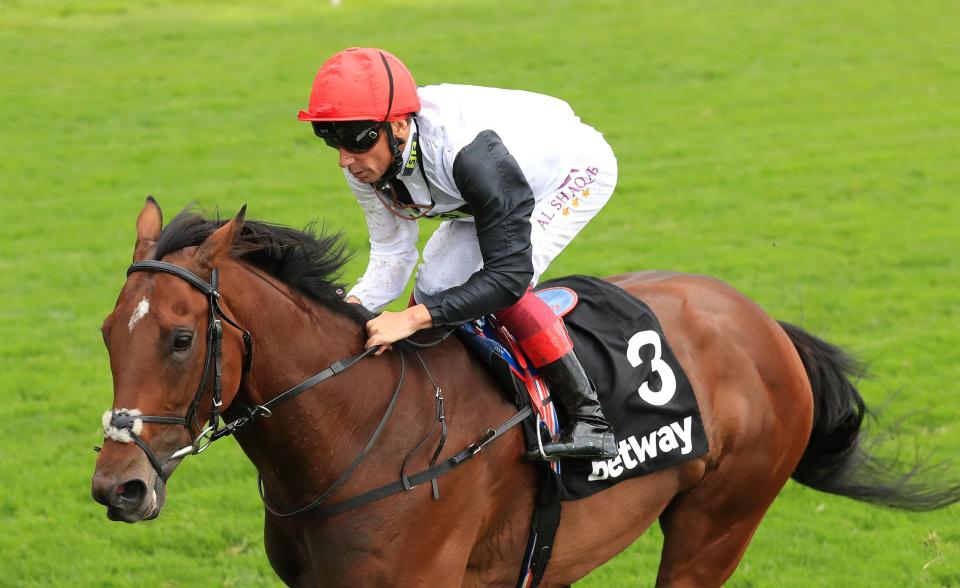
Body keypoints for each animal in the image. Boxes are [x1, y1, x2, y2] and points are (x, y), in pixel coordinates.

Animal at [92, 200, 960, 584]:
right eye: (106, 332)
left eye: (180, 338)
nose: (117, 487)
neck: (356, 434)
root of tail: (760, 322)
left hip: (719, 522)